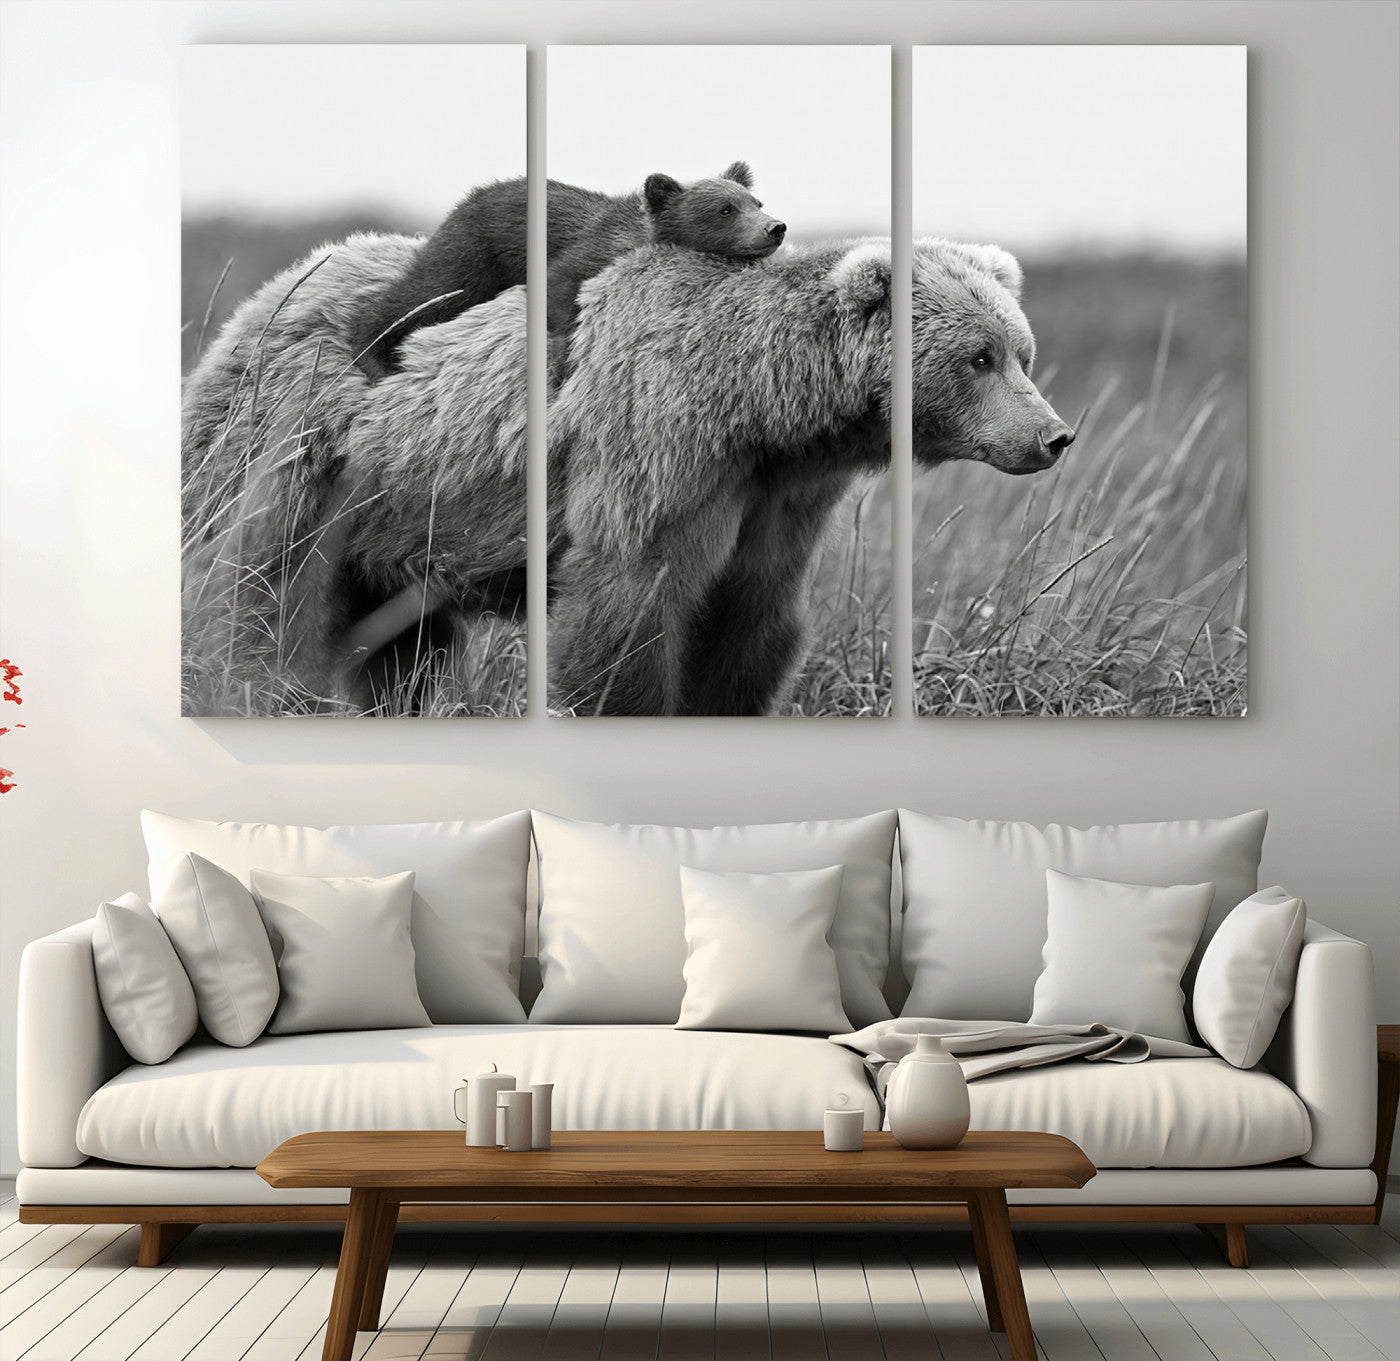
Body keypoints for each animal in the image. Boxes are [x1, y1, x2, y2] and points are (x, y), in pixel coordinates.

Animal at [345, 162, 786, 380]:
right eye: (725, 210)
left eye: (756, 201)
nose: (775, 228)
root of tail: (469, 196)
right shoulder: (585, 252)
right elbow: (559, 289)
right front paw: (561, 358)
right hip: (475, 252)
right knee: (427, 291)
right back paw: (374, 355)